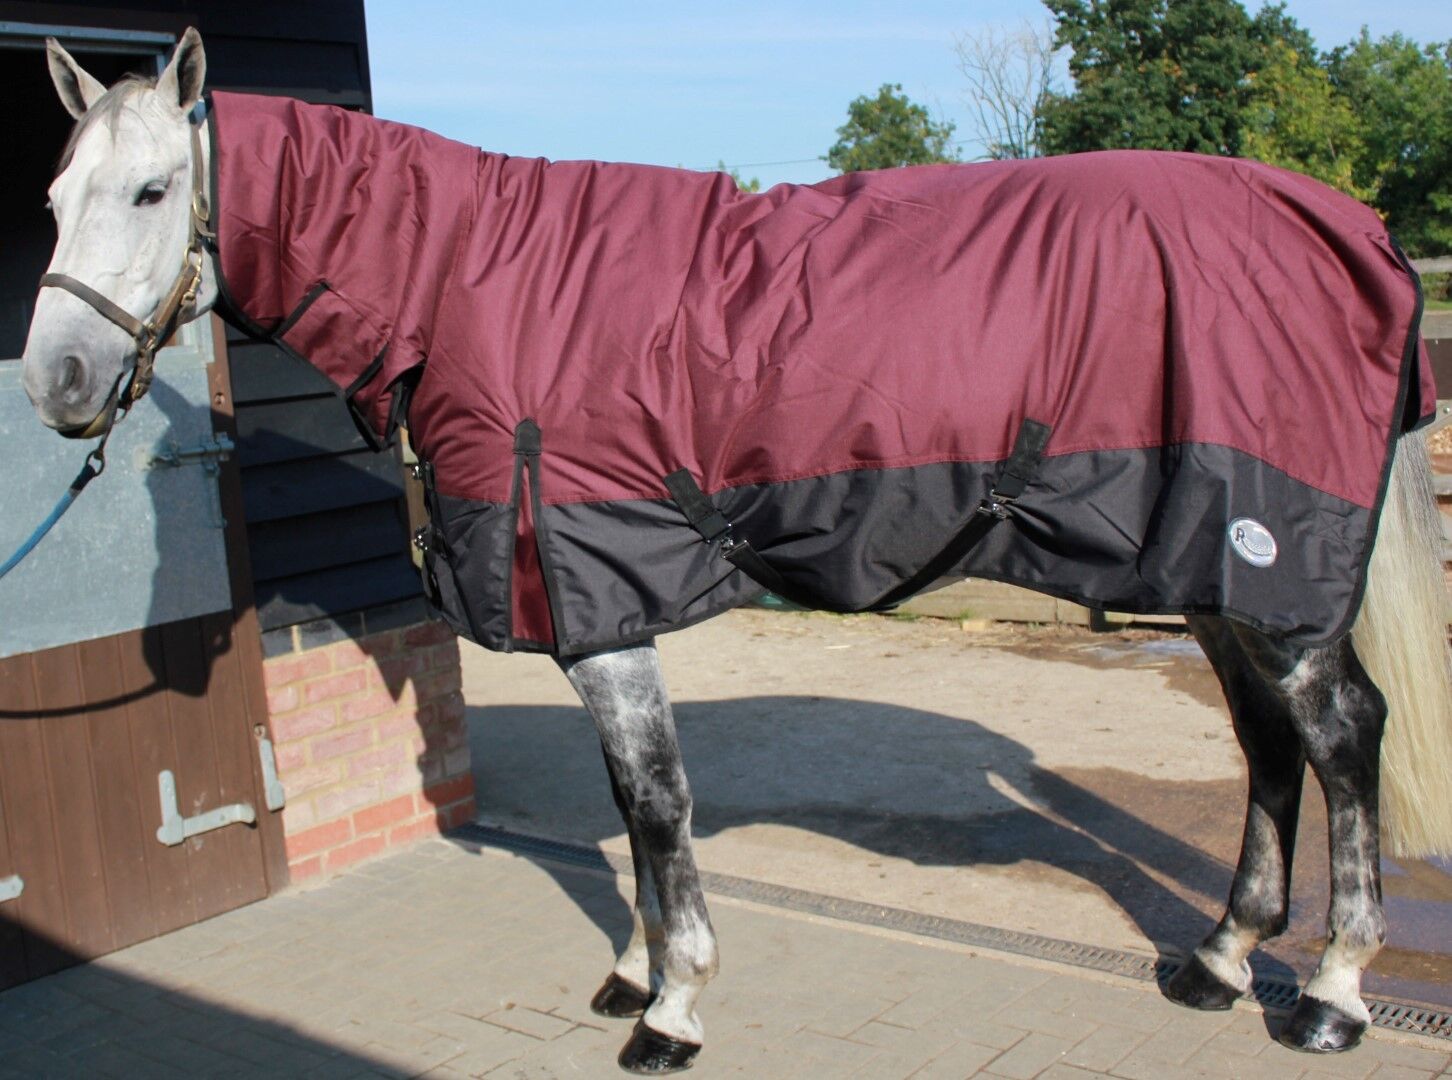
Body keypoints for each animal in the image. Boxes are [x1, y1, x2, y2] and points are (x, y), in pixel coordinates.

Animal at [21, 30, 1452, 1075]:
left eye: (152, 190)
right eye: (51, 197)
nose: (57, 383)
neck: (471, 283)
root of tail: (1356, 230)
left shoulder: (607, 606)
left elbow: (656, 808)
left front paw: (676, 1006)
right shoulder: (600, 614)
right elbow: (625, 812)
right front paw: (635, 972)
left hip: (1272, 577)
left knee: (1342, 737)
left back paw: (1331, 991)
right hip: (1211, 570)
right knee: (1267, 745)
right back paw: (1218, 960)